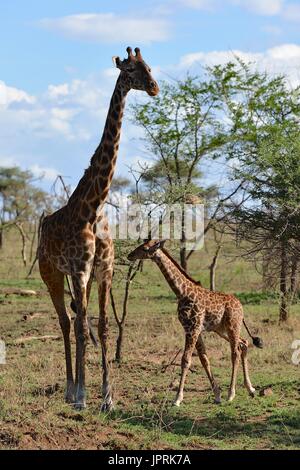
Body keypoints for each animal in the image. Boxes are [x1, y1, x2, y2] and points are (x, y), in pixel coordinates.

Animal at [38, 46, 158, 410]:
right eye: (130, 69)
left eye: (150, 66)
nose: (154, 87)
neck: (94, 207)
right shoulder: (78, 269)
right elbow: (80, 327)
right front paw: (81, 396)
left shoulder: (103, 269)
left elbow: (102, 326)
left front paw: (107, 397)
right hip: (51, 273)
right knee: (66, 322)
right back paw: (69, 389)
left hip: (82, 277)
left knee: (79, 317)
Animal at [127, 241, 262, 406]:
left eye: (145, 248)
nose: (129, 255)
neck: (181, 292)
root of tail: (240, 305)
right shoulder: (192, 329)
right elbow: (204, 359)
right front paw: (217, 395)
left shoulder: (193, 328)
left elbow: (186, 360)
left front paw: (177, 398)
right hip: (221, 329)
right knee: (244, 343)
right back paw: (251, 389)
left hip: (232, 326)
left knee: (235, 352)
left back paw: (231, 394)